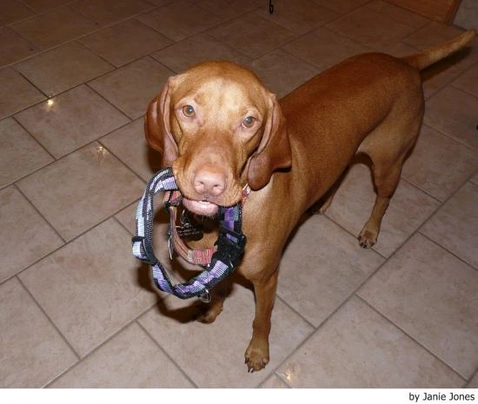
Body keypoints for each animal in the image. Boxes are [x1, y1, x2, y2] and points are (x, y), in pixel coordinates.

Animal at [145, 30, 474, 372]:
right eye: (188, 111)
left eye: (249, 121)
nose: (209, 183)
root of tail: (404, 61)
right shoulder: (219, 266)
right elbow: (219, 289)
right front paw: (212, 310)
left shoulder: (267, 280)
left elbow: (261, 321)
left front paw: (258, 352)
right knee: (343, 170)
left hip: (388, 165)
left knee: (383, 198)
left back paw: (371, 230)